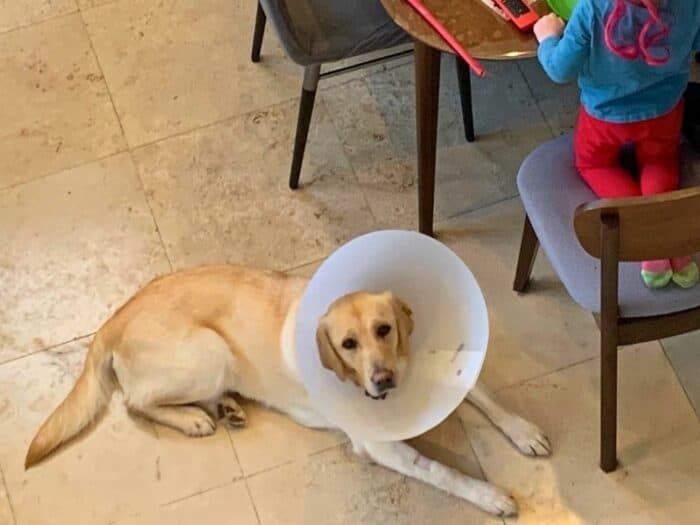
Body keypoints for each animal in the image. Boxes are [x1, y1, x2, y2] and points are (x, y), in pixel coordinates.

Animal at [26, 266, 552, 516]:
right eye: (347, 344)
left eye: (384, 329)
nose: (383, 381)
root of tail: (112, 320)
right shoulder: (383, 447)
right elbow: (446, 472)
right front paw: (491, 496)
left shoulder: (428, 365)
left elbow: (485, 394)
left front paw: (523, 431)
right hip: (209, 351)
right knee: (137, 403)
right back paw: (194, 418)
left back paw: (227, 407)